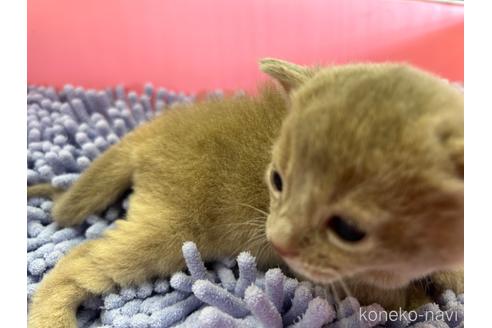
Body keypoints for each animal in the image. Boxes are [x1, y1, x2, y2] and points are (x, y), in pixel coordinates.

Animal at [26, 58, 466, 326]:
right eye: (276, 181)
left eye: (348, 228)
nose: (277, 239)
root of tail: (150, 130)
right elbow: (399, 299)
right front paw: (424, 302)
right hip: (169, 232)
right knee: (75, 263)